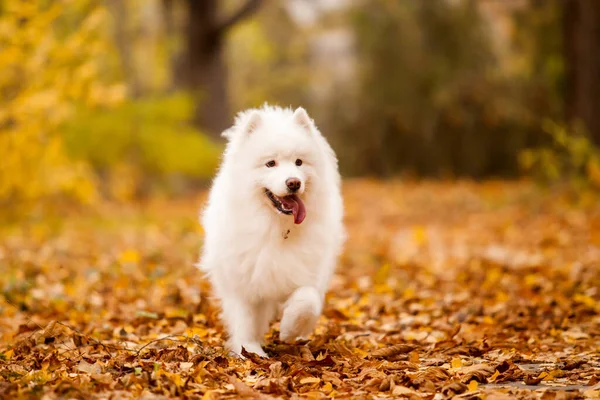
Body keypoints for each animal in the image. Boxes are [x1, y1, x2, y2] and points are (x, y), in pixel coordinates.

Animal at [198, 104, 344, 356]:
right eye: (270, 163)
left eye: (299, 162)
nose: (294, 182)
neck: (277, 226)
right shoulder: (244, 278)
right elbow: (245, 319)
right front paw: (250, 351)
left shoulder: (307, 272)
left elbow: (308, 300)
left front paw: (289, 329)